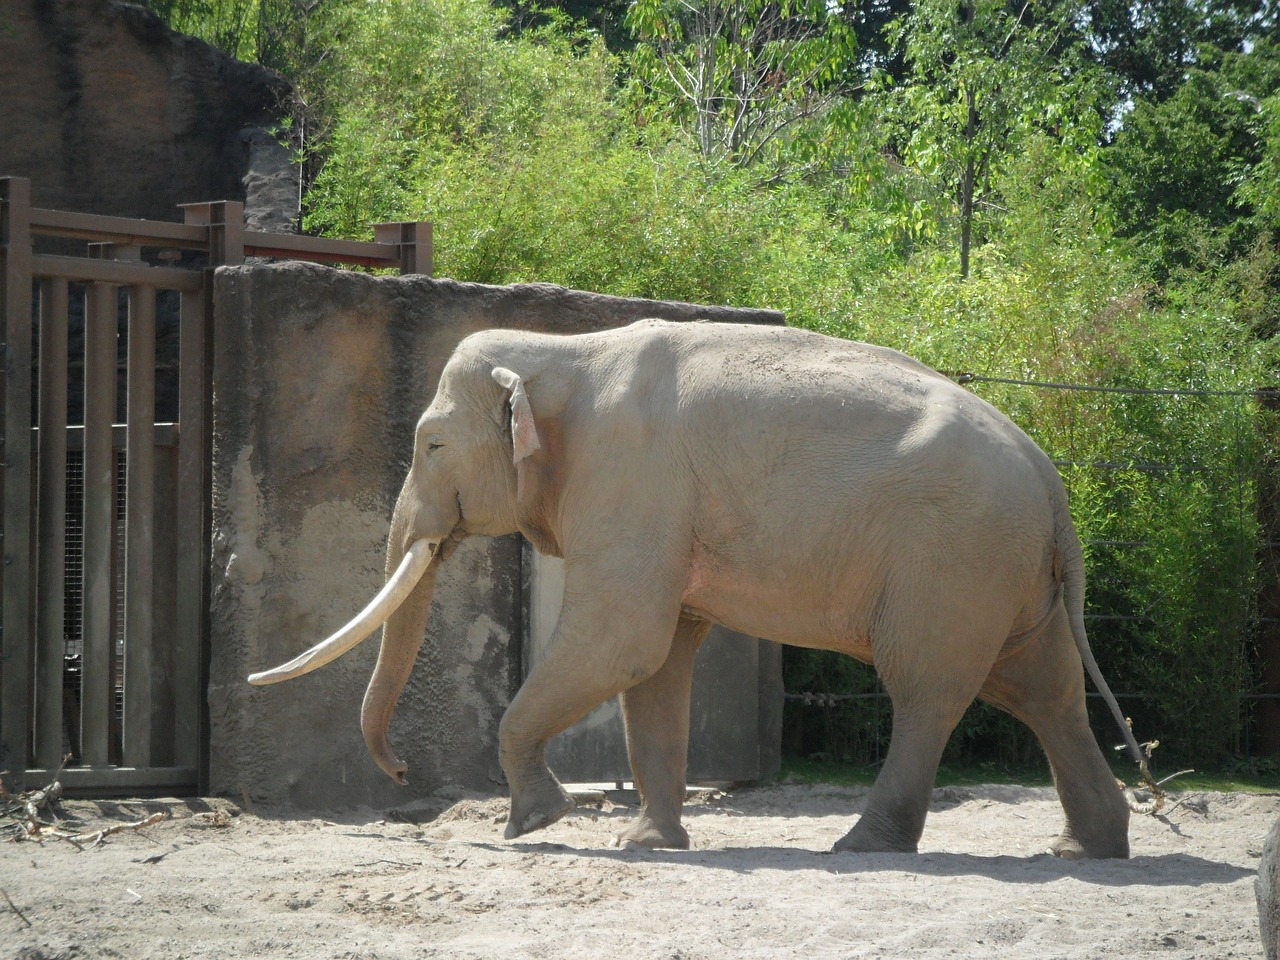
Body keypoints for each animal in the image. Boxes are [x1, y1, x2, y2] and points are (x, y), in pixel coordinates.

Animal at [244, 320, 1146, 860]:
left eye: (431, 444)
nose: (399, 776)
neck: (560, 348)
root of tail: (1053, 484)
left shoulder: (632, 482)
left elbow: (621, 640)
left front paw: (535, 823)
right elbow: (659, 661)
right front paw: (647, 844)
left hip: (953, 559)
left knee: (931, 690)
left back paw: (862, 846)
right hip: (1003, 570)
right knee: (1044, 689)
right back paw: (1088, 850)